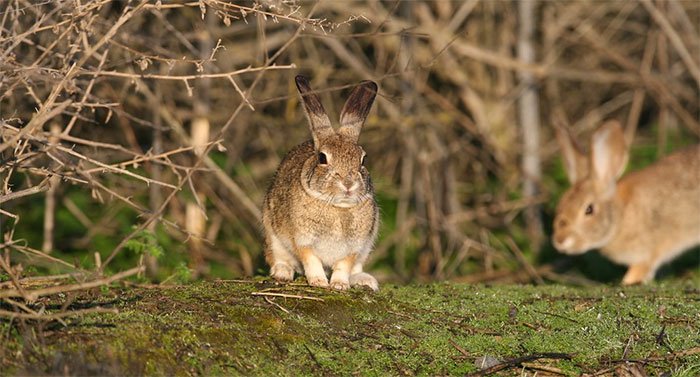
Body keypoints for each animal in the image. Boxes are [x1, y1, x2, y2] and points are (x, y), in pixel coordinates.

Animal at [262, 74, 380, 290]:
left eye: (363, 160)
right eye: (322, 158)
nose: (348, 184)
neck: (338, 207)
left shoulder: (354, 248)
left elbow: (344, 266)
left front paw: (339, 285)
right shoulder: (303, 241)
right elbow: (311, 260)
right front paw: (318, 282)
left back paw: (365, 280)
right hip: (272, 233)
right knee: (277, 257)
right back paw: (282, 272)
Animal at [552, 119, 700, 284]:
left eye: (589, 209)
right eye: (561, 203)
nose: (560, 241)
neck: (621, 216)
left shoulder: (647, 253)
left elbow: (639, 270)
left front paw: (627, 282)